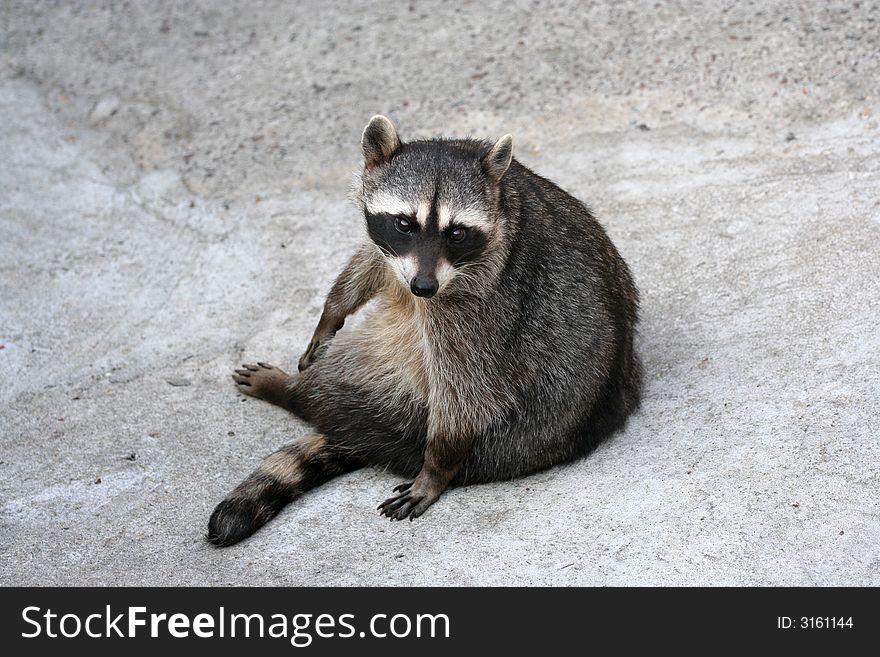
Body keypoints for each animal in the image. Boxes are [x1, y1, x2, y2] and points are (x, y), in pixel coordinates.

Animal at [210, 115, 644, 544]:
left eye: (457, 232)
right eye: (405, 223)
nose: (422, 287)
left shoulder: (483, 305)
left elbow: (469, 393)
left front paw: (437, 468)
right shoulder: (395, 255)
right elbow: (370, 262)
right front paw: (331, 311)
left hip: (413, 403)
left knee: (349, 374)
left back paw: (291, 391)